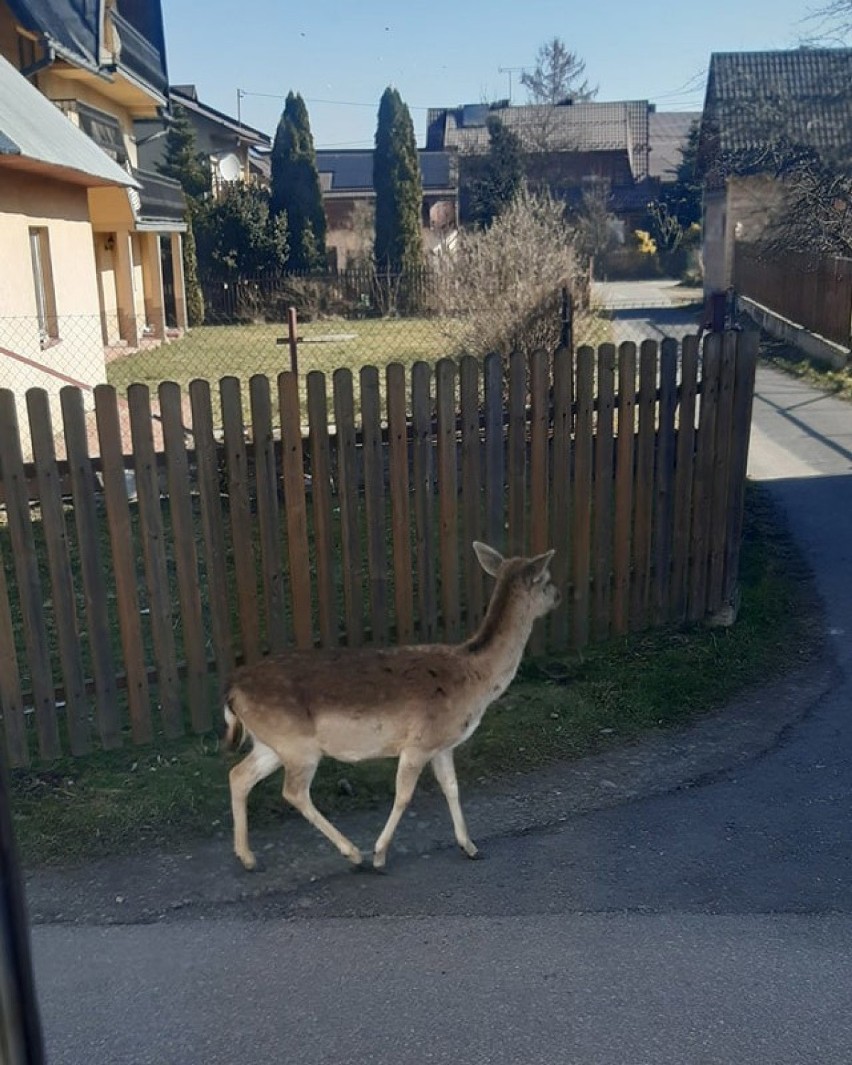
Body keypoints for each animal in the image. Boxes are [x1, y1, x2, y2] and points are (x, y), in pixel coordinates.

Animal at [222, 545, 562, 869]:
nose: (559, 596)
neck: (474, 679)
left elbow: (452, 787)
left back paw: (247, 857)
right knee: (293, 792)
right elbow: (403, 796)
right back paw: (352, 853)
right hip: (298, 745)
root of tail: (232, 690)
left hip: (270, 744)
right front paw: (379, 854)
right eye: (545, 580)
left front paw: (470, 847)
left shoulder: (442, 745)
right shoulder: (419, 742)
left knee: (238, 775)